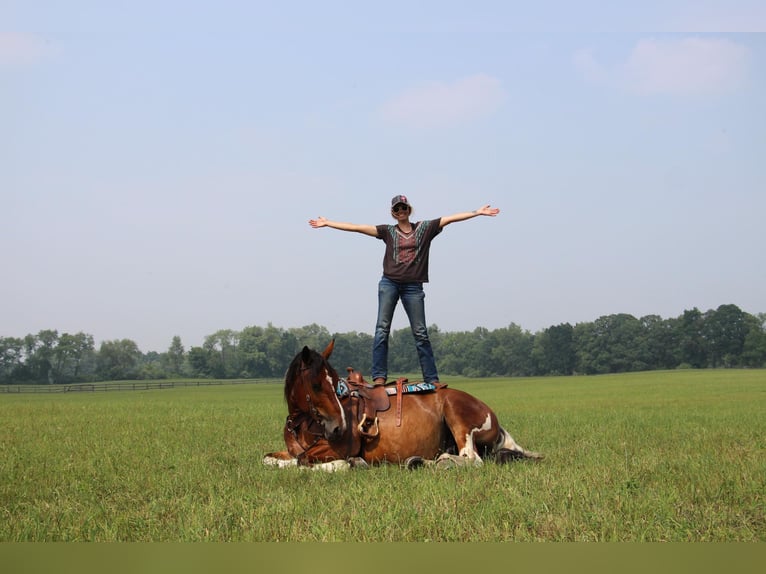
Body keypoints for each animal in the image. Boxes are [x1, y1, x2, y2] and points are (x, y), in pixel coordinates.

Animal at [266, 342, 544, 472]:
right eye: (315, 384)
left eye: (334, 382)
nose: (339, 427)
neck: (303, 423)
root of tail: (493, 418)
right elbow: (271, 458)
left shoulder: (338, 448)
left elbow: (305, 460)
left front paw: (351, 464)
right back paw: (419, 461)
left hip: (457, 416)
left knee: (471, 459)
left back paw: (435, 461)